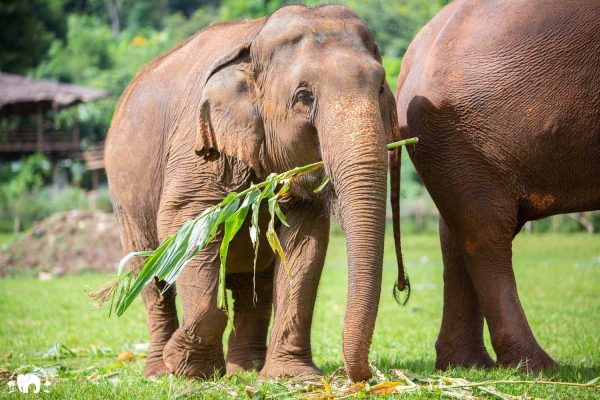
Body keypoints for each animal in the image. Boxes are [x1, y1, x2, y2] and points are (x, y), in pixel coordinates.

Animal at [105, 4, 406, 382]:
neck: (255, 41)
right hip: (125, 198)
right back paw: (161, 372)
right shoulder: (197, 146)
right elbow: (186, 221)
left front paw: (291, 377)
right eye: (303, 96)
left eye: (380, 87)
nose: (364, 376)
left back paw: (244, 370)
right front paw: (187, 368)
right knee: (151, 274)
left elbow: (304, 242)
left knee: (254, 284)